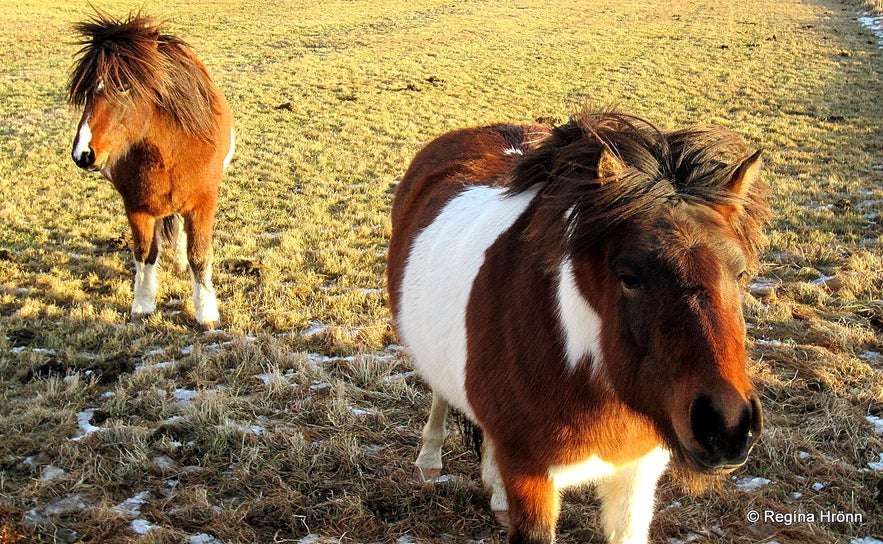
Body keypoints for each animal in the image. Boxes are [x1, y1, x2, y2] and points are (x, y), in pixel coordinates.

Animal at [67, 10, 233, 330]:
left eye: (123, 85)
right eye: (86, 90)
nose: (83, 153)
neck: (169, 150)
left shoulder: (203, 203)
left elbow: (199, 256)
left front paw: (207, 314)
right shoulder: (136, 207)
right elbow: (145, 254)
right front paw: (142, 306)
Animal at [386, 108, 768, 540]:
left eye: (739, 273)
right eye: (629, 277)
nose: (726, 424)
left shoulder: (638, 471)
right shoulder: (531, 476)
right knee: (439, 390)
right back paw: (429, 459)